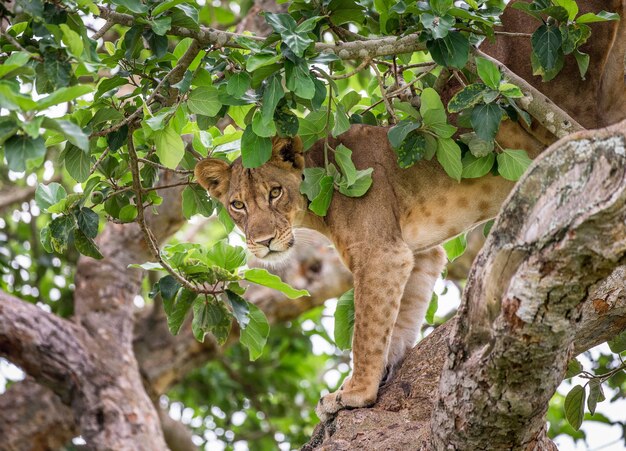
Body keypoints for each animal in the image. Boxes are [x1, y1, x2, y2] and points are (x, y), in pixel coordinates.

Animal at [195, 0, 624, 424]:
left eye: (275, 193)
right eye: (237, 205)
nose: (263, 242)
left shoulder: (380, 254)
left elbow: (367, 330)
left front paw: (354, 393)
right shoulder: (417, 254)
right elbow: (399, 318)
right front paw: (383, 370)